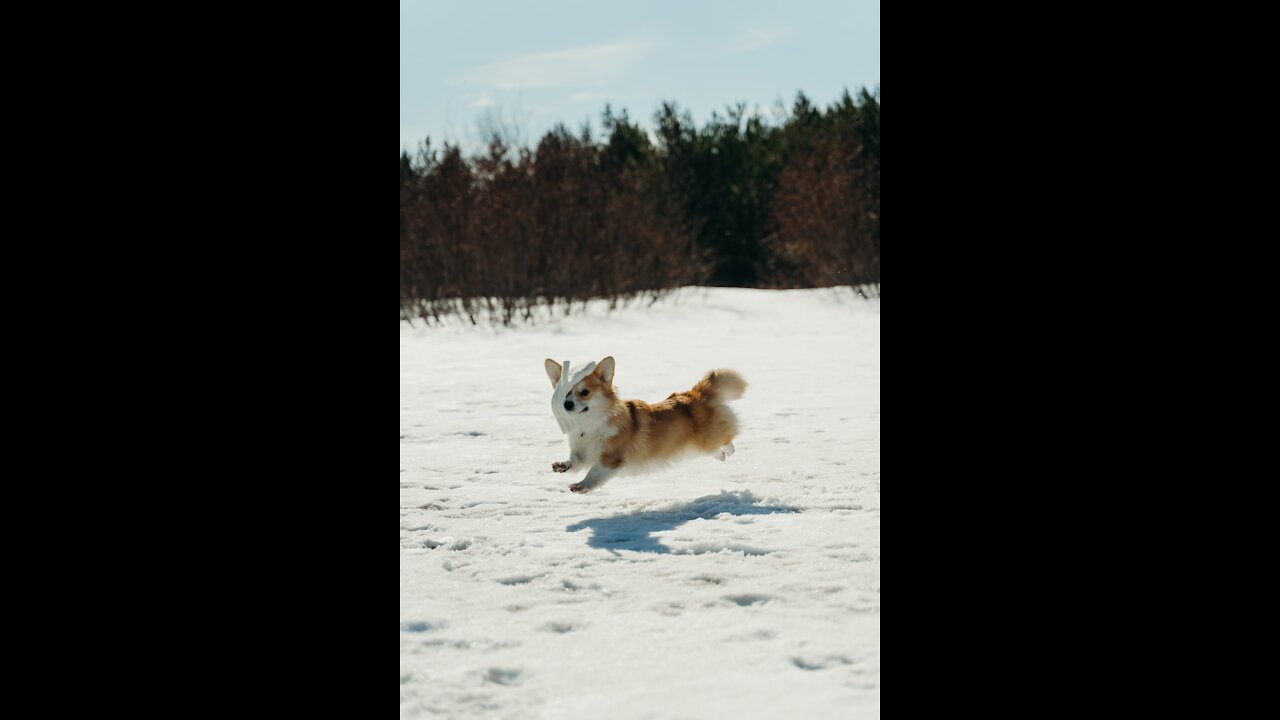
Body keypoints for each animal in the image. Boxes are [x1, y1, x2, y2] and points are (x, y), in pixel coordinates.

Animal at [542, 353, 747, 489]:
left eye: (584, 392)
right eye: (565, 394)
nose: (567, 404)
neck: (588, 425)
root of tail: (694, 394)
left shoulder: (611, 458)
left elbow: (594, 472)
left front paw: (581, 485)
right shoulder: (582, 454)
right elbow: (574, 461)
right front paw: (561, 466)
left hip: (708, 437)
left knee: (727, 438)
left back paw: (730, 449)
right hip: (697, 446)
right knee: (714, 450)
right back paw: (721, 456)